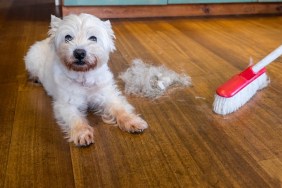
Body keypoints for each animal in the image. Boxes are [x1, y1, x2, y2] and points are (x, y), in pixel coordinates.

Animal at [24, 13, 148, 147]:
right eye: (68, 37)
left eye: (93, 38)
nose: (79, 53)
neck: (84, 78)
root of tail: (44, 41)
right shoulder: (66, 104)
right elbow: (75, 119)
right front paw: (82, 134)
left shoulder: (107, 95)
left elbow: (120, 109)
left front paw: (133, 121)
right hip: (31, 60)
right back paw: (35, 78)